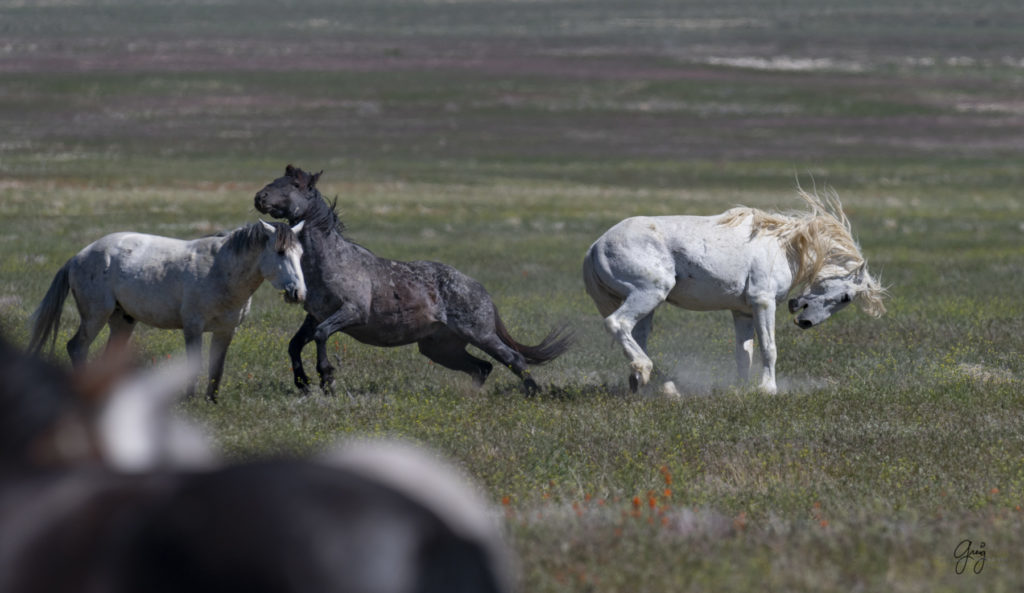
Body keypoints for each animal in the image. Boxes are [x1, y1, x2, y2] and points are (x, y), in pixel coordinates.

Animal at [27, 220, 307, 401]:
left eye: (301, 253)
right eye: (280, 252)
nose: (298, 293)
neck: (221, 270)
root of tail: (78, 256)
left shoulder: (226, 331)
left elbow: (216, 368)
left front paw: (211, 401)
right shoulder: (193, 328)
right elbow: (195, 364)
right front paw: (190, 400)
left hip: (122, 321)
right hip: (95, 316)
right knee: (76, 347)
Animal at [253, 164, 577, 397]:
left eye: (296, 185)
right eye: (276, 180)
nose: (260, 197)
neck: (331, 260)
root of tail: (480, 290)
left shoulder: (351, 312)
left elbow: (321, 336)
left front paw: (327, 379)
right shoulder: (315, 315)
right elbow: (295, 344)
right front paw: (303, 382)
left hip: (480, 335)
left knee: (513, 360)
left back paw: (533, 394)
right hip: (440, 348)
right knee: (482, 368)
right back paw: (472, 397)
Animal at [589, 189, 884, 395]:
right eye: (846, 297)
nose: (806, 323)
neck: (782, 247)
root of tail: (595, 247)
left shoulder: (742, 312)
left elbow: (744, 354)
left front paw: (742, 389)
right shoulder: (762, 303)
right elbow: (769, 347)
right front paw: (768, 389)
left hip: (647, 307)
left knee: (637, 337)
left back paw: (653, 386)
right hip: (649, 294)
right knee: (617, 324)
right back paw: (650, 374)